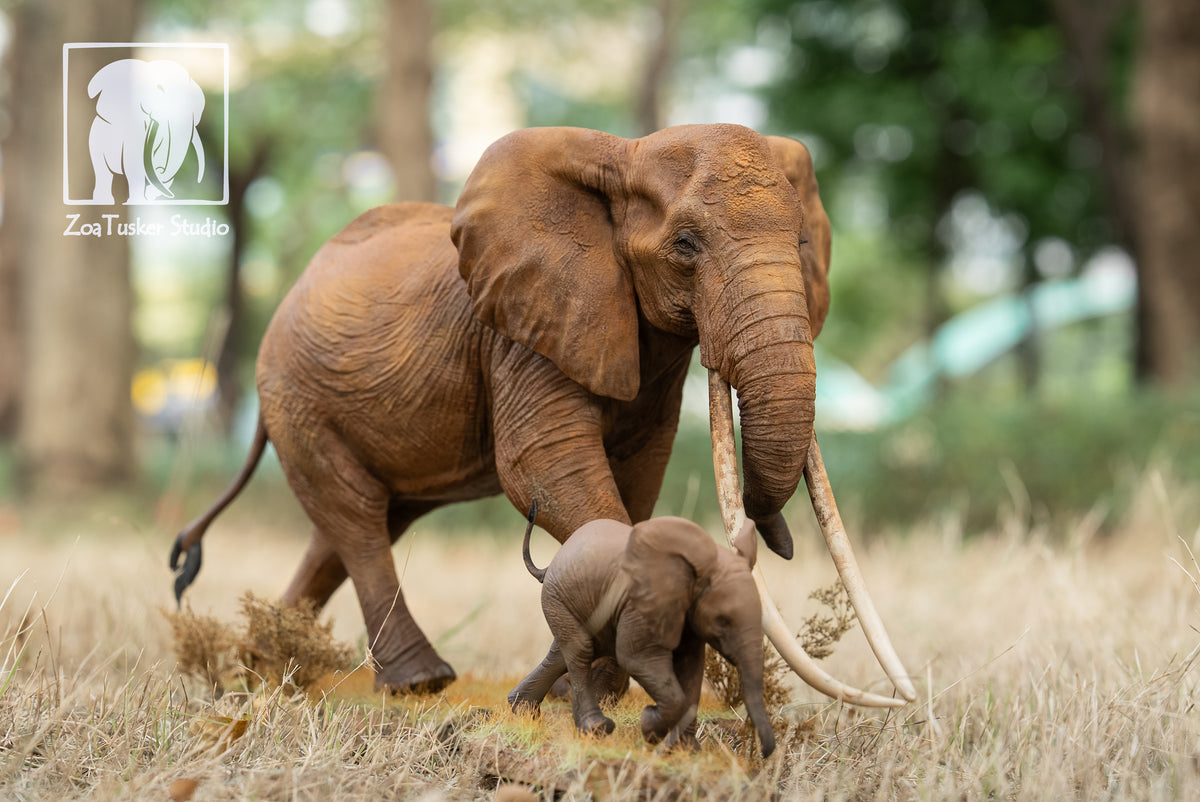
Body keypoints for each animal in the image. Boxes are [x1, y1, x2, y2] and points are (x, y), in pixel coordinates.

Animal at [171, 123, 913, 705]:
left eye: (801, 246)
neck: (624, 153)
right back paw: (418, 683)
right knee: (354, 516)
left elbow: (638, 476)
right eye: (686, 245)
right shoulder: (522, 328)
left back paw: (269, 666)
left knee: (355, 524)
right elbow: (545, 468)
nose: (776, 537)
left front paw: (600, 685)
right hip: (296, 392)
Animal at [509, 505, 775, 758]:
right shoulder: (640, 606)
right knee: (581, 651)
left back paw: (522, 710)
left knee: (566, 653)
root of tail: (550, 564)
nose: (763, 753)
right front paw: (650, 727)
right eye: (722, 621)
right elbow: (635, 659)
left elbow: (691, 668)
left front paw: (687, 750)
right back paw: (596, 729)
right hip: (557, 598)